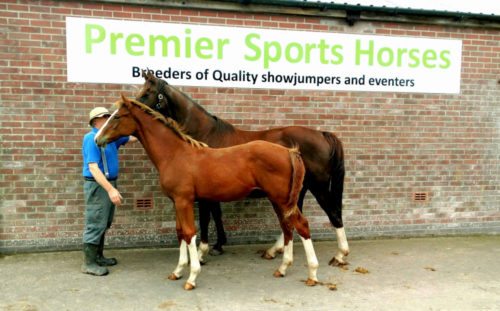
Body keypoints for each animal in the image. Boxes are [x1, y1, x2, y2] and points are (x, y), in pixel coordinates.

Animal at [95, 96, 318, 292]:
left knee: (301, 225)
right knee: (288, 227)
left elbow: (189, 233)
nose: (98, 139)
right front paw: (178, 271)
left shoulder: (184, 201)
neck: (175, 154)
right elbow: (180, 232)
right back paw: (283, 268)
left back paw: (312, 275)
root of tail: (289, 152)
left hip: (281, 199)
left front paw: (192, 277)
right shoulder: (176, 202)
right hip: (278, 200)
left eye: (117, 116)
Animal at [135, 72, 350, 266]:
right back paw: (275, 250)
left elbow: (207, 218)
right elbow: (216, 215)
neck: (205, 135)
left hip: (318, 187)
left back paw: (340, 255)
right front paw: (219, 245)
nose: (133, 106)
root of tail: (322, 134)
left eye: (147, 93)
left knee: (333, 213)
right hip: (297, 189)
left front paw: (205, 251)